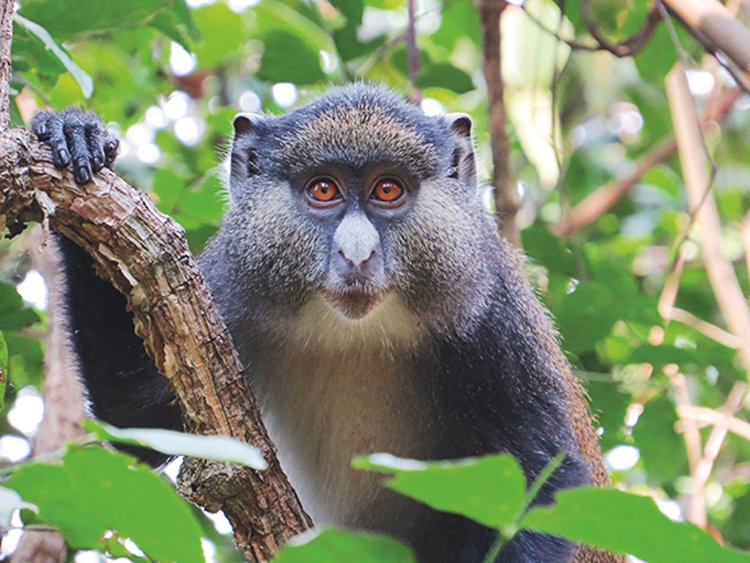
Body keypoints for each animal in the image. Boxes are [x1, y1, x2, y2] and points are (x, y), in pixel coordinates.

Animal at [30, 85, 616, 563]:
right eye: (323, 190)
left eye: (387, 190)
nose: (356, 253)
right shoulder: (228, 293)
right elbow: (139, 419)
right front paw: (75, 137)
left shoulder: (493, 312)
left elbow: (541, 484)